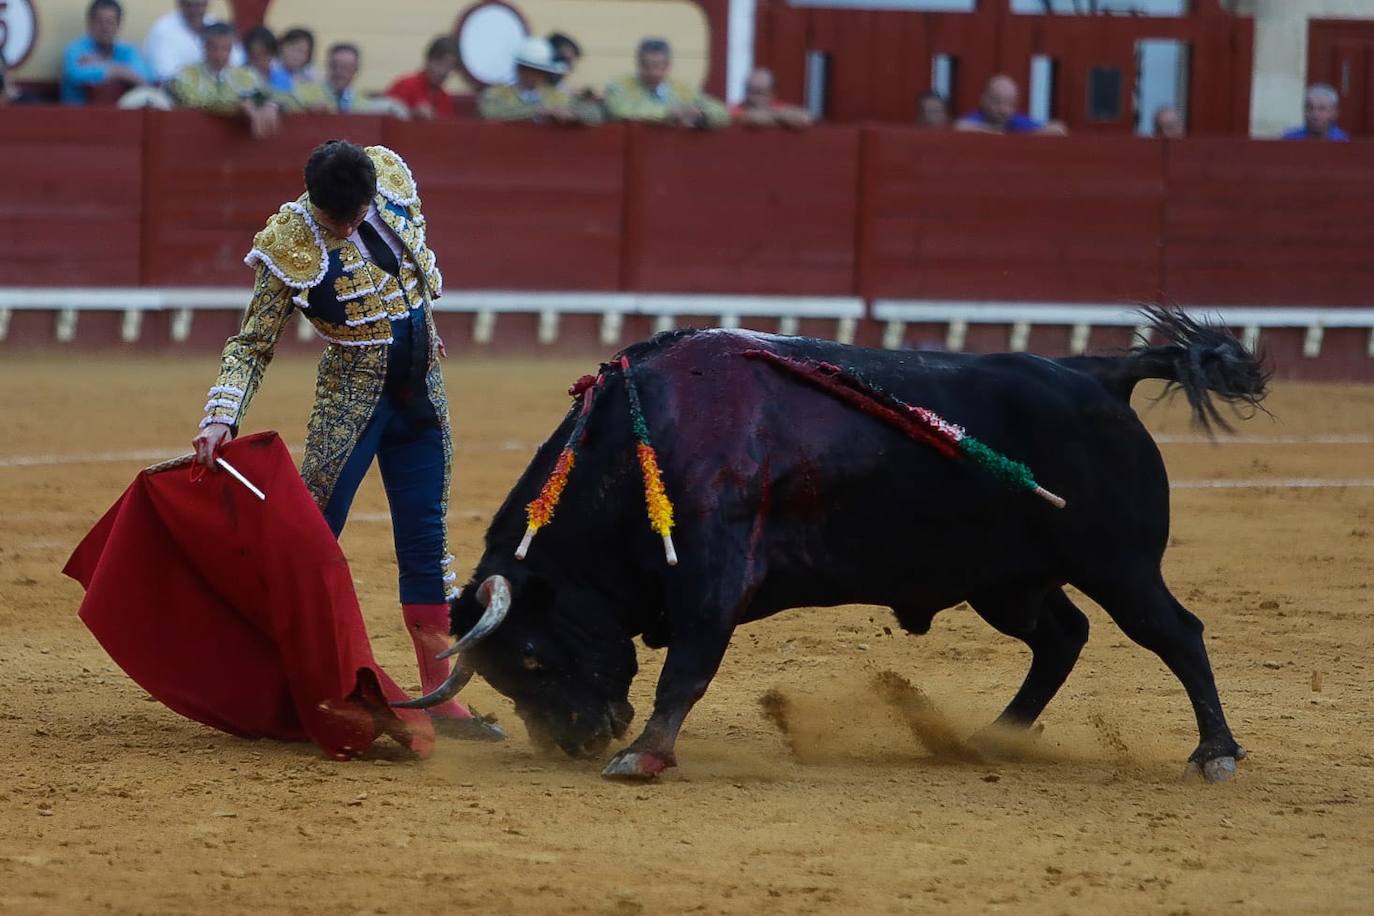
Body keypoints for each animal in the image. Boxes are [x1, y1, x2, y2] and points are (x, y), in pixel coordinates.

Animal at [401, 307, 1264, 780]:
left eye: (532, 658)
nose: (574, 742)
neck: (648, 436)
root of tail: (1098, 374)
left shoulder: (713, 579)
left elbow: (686, 671)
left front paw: (643, 755)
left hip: (1119, 565)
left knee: (1175, 633)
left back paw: (1215, 752)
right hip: (1005, 582)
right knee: (1062, 635)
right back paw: (992, 737)